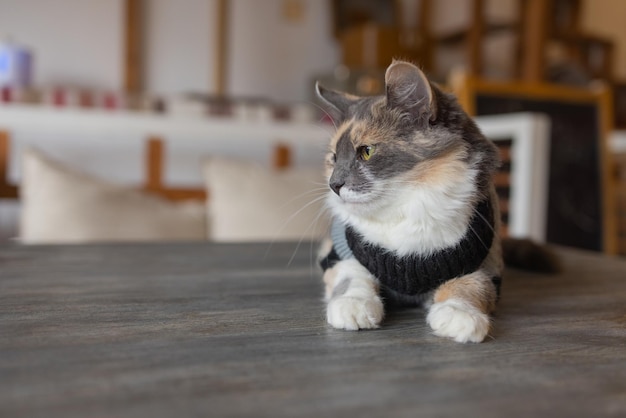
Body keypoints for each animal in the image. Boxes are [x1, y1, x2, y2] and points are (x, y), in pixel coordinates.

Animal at [314, 60, 504, 344]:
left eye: (366, 152)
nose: (334, 185)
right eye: (334, 158)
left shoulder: (482, 264)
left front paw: (459, 315)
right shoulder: (341, 253)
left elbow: (469, 287)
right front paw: (354, 306)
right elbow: (351, 276)